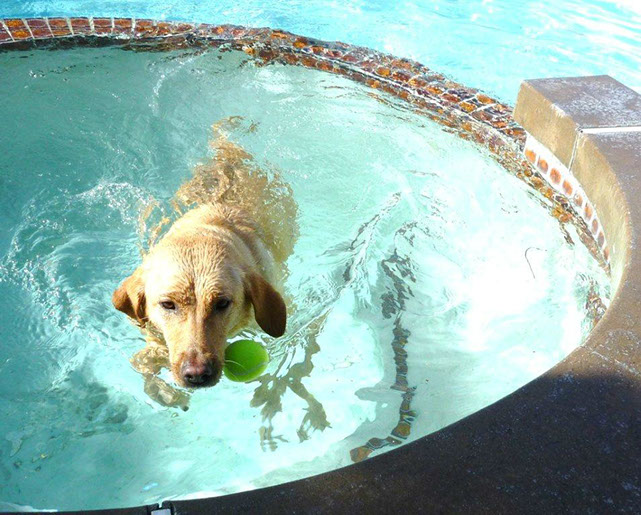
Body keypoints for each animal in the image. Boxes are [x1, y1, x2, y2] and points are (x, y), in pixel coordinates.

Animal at [112, 119, 298, 405]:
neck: (206, 228)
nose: (197, 375)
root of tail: (229, 156)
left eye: (222, 303)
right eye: (168, 304)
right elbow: (143, 360)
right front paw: (162, 389)